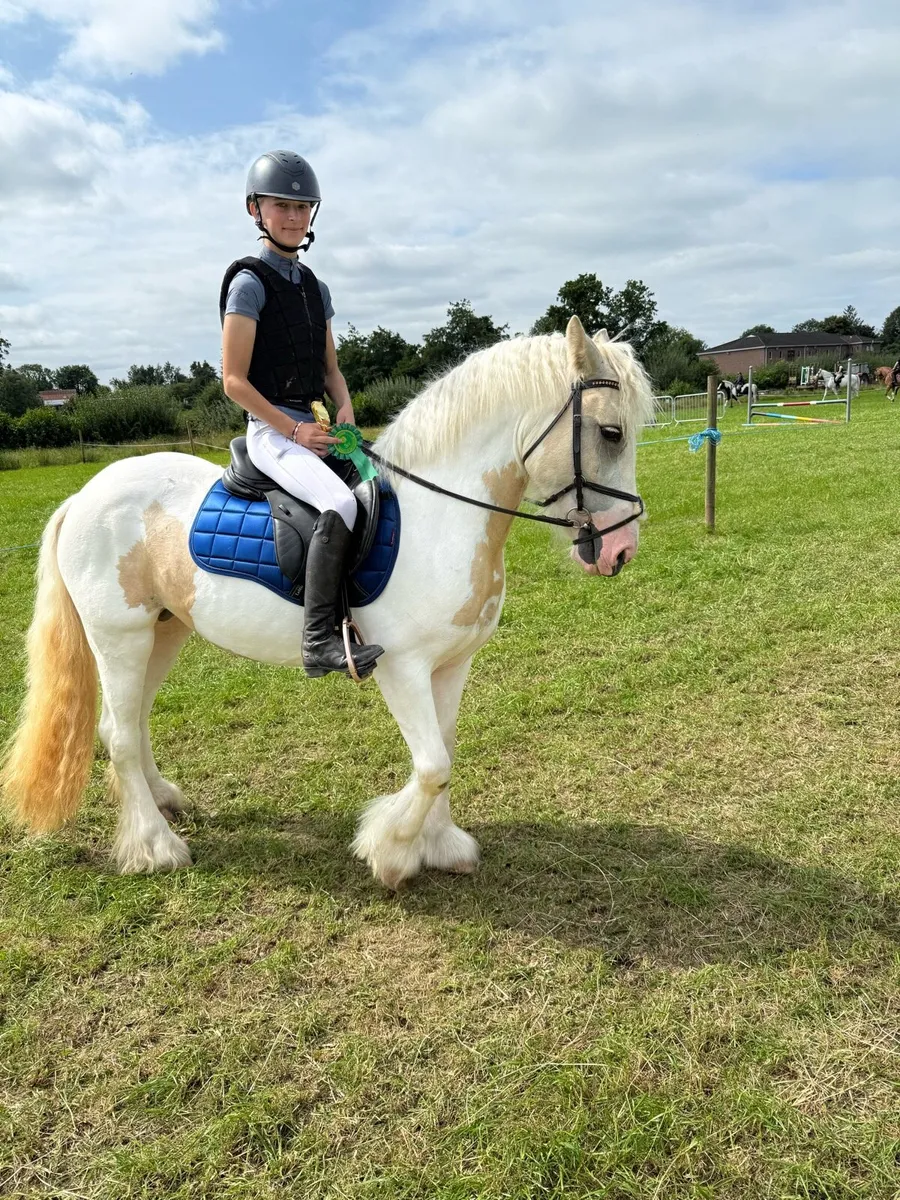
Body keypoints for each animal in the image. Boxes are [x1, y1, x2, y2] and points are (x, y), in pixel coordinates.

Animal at [1, 318, 653, 891]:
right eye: (611, 433)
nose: (619, 551)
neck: (438, 518)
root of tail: (84, 495)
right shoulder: (402, 668)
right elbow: (432, 766)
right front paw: (390, 853)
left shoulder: (452, 664)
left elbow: (445, 752)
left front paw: (440, 847)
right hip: (120, 637)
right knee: (120, 734)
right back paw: (154, 847)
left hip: (164, 631)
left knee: (129, 721)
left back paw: (164, 805)